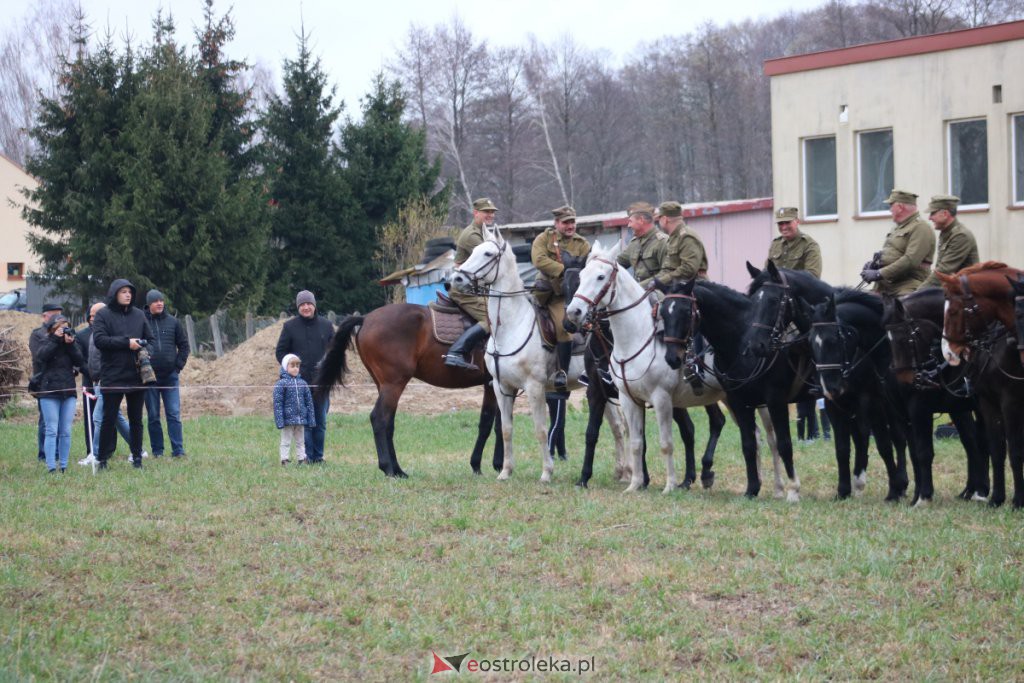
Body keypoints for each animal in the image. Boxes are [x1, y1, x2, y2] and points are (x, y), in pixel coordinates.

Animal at [313, 307, 501, 479]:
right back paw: (387, 468)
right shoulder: (492, 386)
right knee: (379, 418)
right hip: (394, 384)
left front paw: (498, 465)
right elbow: (487, 424)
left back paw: (398, 470)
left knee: (388, 423)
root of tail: (366, 318)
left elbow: (499, 425)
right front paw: (478, 466)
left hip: (385, 385)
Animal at [452, 227, 589, 483]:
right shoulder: (501, 387)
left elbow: (540, 430)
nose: (457, 279)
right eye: (472, 251)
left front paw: (546, 472)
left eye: (487, 253)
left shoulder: (535, 387)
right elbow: (505, 429)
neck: (511, 327)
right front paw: (505, 471)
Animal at [565, 244, 786, 497]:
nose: (573, 313)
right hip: (732, 399)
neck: (635, 338)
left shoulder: (661, 399)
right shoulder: (626, 399)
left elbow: (666, 443)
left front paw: (669, 485)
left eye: (601, 277)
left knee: (770, 437)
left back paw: (777, 487)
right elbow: (635, 442)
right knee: (754, 436)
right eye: (581, 276)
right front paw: (635, 484)